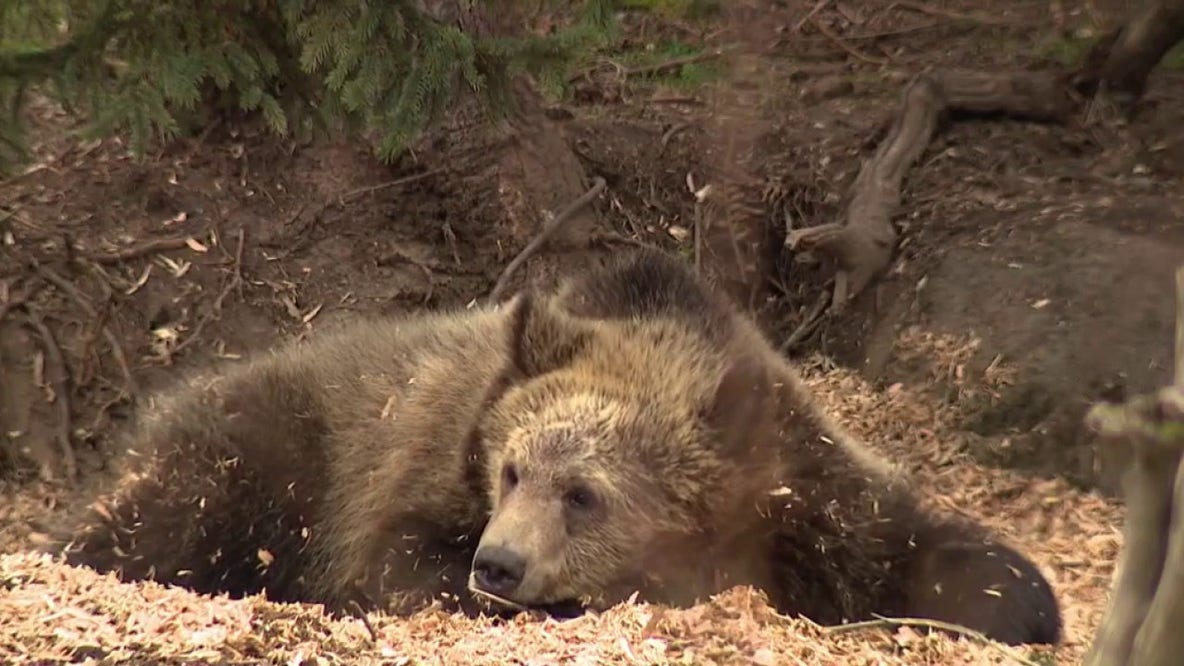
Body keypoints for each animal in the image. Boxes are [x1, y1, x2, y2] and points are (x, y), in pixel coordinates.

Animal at [41, 247, 1061, 647]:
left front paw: (1020, 601)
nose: (499, 565)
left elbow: (917, 544)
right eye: (512, 468)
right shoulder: (413, 474)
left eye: (585, 492)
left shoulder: (805, 490)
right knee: (167, 515)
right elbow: (395, 560)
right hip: (267, 450)